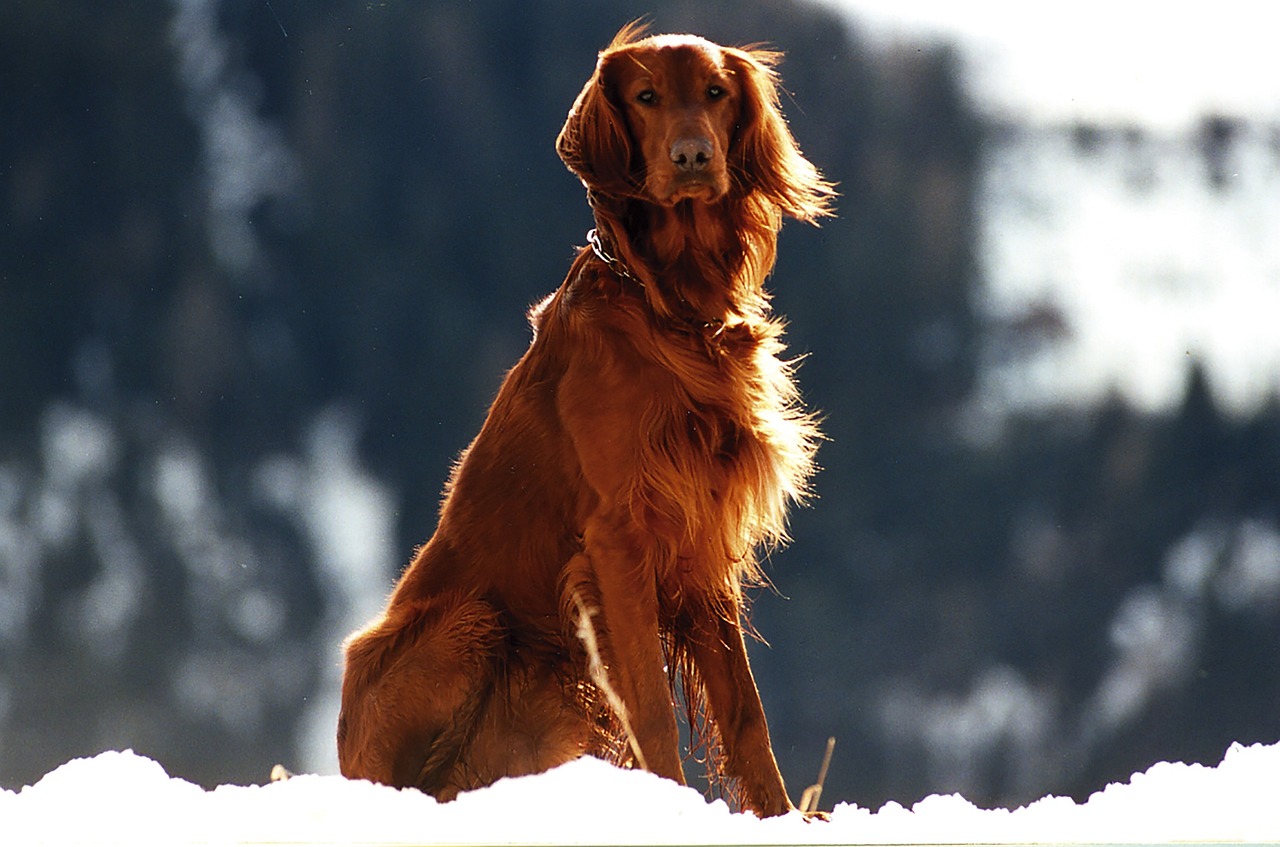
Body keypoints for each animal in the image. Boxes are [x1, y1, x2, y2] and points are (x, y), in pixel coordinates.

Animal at [335, 23, 834, 818]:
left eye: (716, 93)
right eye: (647, 96)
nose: (692, 157)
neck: (672, 308)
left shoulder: (702, 539)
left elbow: (746, 716)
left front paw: (780, 815)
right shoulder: (617, 539)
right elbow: (653, 714)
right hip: (474, 624)